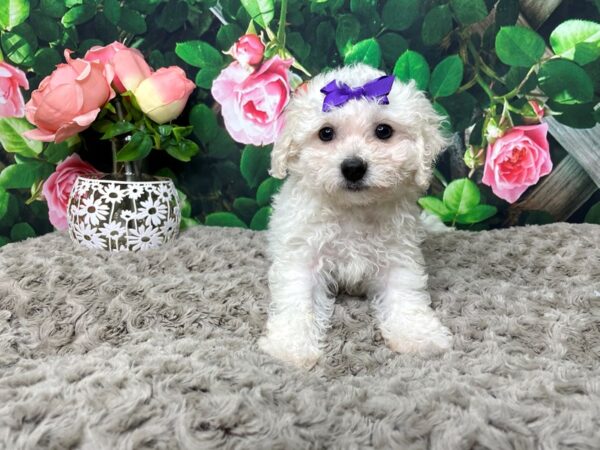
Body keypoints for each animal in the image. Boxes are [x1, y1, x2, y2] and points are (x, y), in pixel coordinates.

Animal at [258, 64, 450, 370]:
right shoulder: (302, 257)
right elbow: (298, 299)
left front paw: (419, 336)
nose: (353, 167)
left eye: (383, 131)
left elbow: (405, 294)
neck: (353, 209)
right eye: (326, 133)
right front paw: (291, 346)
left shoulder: (398, 257)